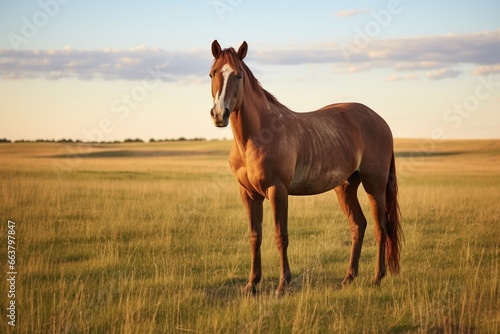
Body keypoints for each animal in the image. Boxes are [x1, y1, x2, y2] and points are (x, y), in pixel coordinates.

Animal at [208, 39, 402, 294]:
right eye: (212, 73)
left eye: (238, 75)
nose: (220, 114)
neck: (256, 137)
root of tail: (380, 121)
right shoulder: (248, 194)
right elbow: (255, 236)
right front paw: (252, 284)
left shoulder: (278, 191)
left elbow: (281, 236)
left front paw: (282, 285)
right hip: (346, 187)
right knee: (358, 225)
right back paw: (348, 278)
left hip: (375, 185)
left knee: (381, 227)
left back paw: (377, 278)